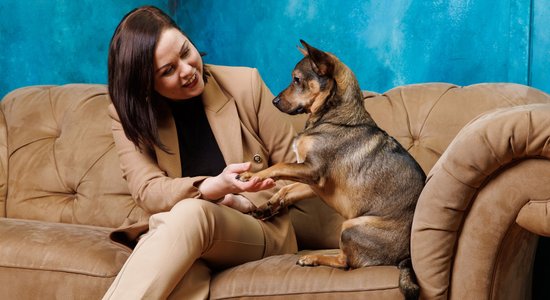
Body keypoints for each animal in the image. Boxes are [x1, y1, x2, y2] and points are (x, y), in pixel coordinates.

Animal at [237, 40, 426, 300]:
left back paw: (313, 258)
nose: (274, 101)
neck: (331, 116)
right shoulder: (313, 184)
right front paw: (269, 206)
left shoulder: (312, 171)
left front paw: (252, 175)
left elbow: (277, 166)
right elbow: (287, 190)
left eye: (296, 80)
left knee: (346, 263)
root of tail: (405, 259)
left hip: (350, 227)